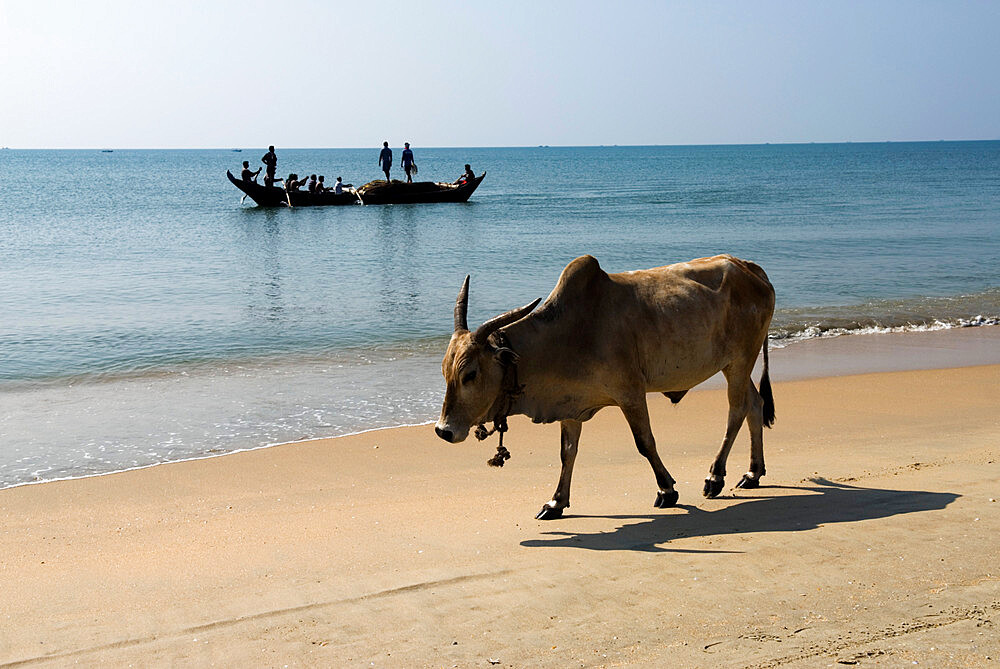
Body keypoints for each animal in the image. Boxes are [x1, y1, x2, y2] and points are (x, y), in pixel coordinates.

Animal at [434, 253, 776, 520]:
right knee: (755, 405)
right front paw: (556, 502)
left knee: (737, 410)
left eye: (470, 374)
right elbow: (567, 453)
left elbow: (645, 442)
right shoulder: (570, 405)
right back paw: (753, 472)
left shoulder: (631, 393)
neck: (568, 334)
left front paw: (667, 490)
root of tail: (750, 268)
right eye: (445, 371)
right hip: (736, 364)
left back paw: (715, 476)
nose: (443, 431)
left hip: (740, 360)